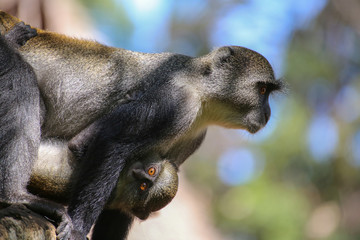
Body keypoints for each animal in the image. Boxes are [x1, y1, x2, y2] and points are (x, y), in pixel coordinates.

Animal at [0, 11, 284, 240]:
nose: (267, 113)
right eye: (261, 90)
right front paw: (78, 228)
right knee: (23, 82)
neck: (202, 94)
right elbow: (108, 141)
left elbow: (131, 194)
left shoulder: (189, 140)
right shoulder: (174, 102)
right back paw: (15, 196)